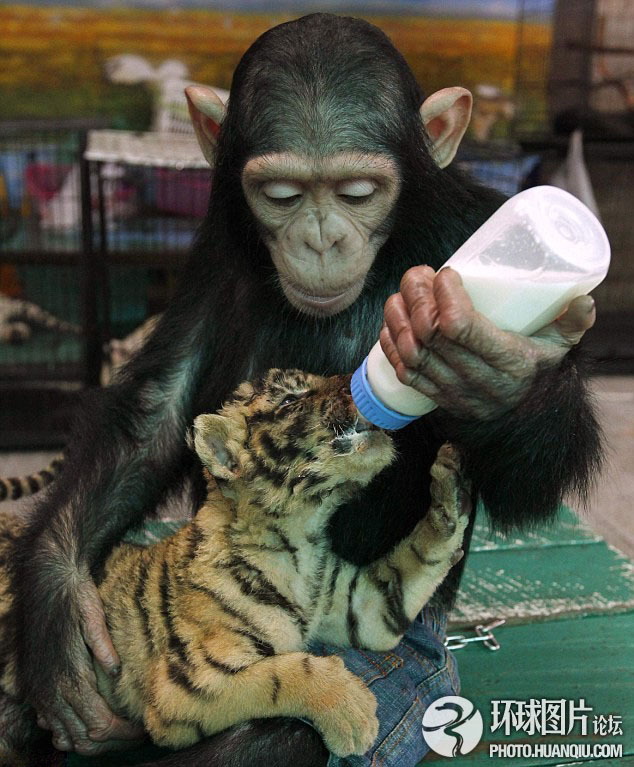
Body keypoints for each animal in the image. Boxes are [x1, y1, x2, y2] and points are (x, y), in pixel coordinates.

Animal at [12, 12, 600, 767]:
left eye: (357, 190)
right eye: (282, 194)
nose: (320, 239)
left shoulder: (470, 222)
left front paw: (498, 372)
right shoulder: (216, 248)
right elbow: (157, 408)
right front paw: (57, 619)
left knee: (276, 733)